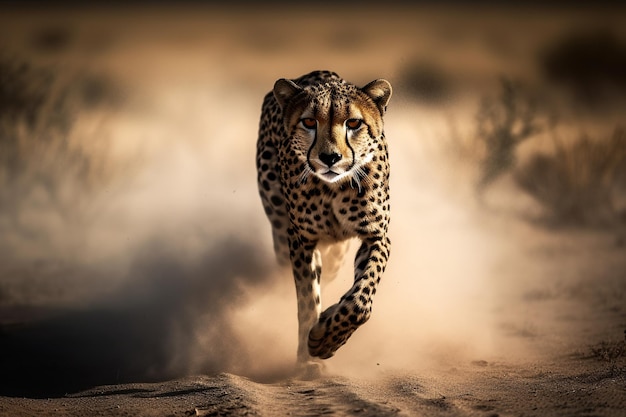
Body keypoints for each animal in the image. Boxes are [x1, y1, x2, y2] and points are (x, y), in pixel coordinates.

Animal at [254, 70, 390, 366]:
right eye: (308, 122)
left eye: (354, 123)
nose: (330, 157)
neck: (333, 188)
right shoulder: (301, 240)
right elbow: (307, 299)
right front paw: (308, 358)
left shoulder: (376, 236)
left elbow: (360, 301)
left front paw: (326, 338)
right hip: (280, 227)